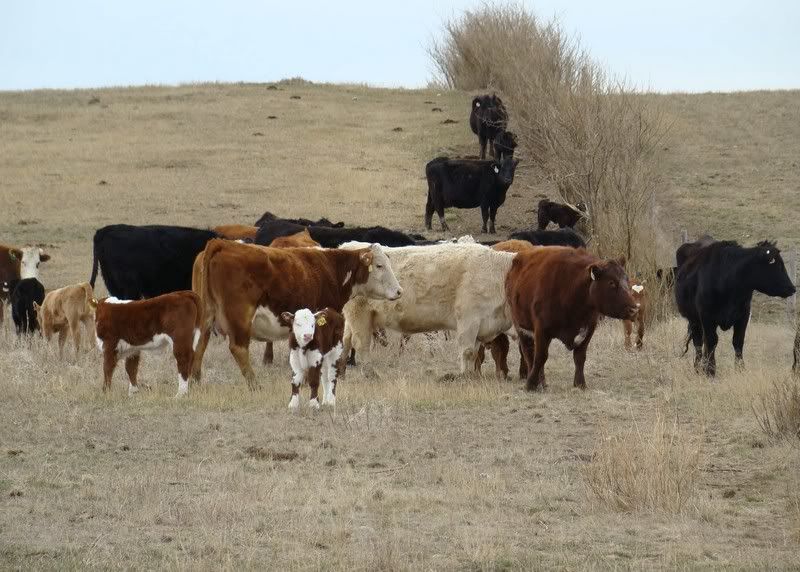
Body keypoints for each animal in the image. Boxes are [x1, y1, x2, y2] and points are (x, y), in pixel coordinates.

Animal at [192, 240, 401, 387]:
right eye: (380, 265)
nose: (399, 291)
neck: (332, 269)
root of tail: (221, 244)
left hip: (207, 315)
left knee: (201, 343)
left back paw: (195, 380)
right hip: (240, 316)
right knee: (238, 348)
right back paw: (254, 384)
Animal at [340, 241, 516, 377]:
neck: (498, 273)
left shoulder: (480, 327)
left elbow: (475, 352)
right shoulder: (469, 320)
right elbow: (467, 351)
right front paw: (464, 376)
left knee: (345, 341)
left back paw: (341, 372)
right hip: (360, 316)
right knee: (360, 344)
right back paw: (370, 374)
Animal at [506, 247, 638, 390]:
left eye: (627, 280)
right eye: (611, 282)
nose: (634, 309)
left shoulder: (588, 329)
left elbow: (580, 357)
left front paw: (580, 384)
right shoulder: (541, 329)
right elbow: (541, 357)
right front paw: (530, 384)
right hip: (521, 326)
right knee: (528, 353)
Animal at [675, 240, 795, 376]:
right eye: (776, 265)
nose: (792, 288)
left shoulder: (743, 316)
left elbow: (738, 341)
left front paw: (740, 369)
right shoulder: (707, 317)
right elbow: (711, 341)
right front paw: (710, 370)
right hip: (693, 319)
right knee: (698, 343)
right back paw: (697, 368)